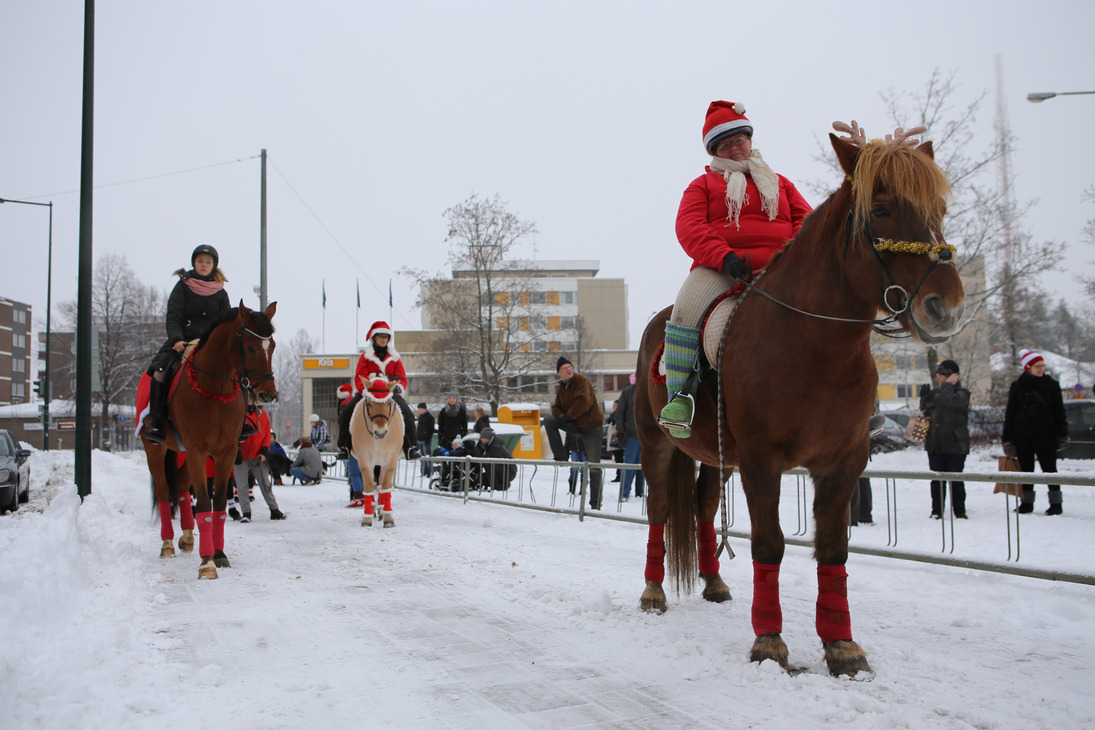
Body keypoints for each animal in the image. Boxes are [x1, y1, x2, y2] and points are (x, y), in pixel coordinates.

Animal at [142, 302, 278, 577]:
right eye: (250, 347)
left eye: (273, 346)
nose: (267, 394)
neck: (214, 390)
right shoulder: (197, 450)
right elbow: (204, 504)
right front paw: (207, 563)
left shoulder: (226, 452)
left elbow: (219, 503)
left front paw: (219, 554)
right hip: (156, 450)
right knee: (164, 491)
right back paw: (167, 543)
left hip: (182, 454)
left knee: (181, 489)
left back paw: (186, 538)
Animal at [348, 380, 405, 527]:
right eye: (369, 403)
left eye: (389, 403)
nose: (381, 432)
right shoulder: (364, 459)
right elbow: (368, 487)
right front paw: (366, 518)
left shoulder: (390, 458)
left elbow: (386, 486)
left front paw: (388, 517)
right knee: (374, 484)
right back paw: (374, 509)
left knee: (380, 484)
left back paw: (381, 511)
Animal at [635, 122, 967, 678]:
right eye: (881, 210)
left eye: (937, 209)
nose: (946, 309)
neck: (815, 347)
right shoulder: (762, 461)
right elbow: (769, 544)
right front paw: (769, 642)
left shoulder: (844, 462)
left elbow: (833, 550)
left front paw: (842, 646)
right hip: (656, 444)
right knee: (659, 509)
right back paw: (653, 591)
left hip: (720, 457)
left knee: (703, 506)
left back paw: (714, 581)